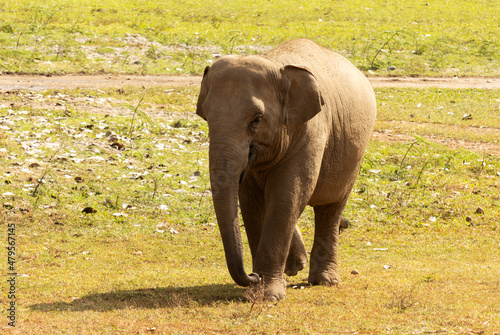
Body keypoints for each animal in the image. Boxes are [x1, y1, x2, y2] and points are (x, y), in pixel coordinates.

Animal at [195, 38, 376, 302]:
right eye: (206, 118)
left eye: (256, 119)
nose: (252, 275)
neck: (275, 63)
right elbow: (251, 202)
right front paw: (261, 288)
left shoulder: (310, 131)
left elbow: (287, 195)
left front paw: (265, 296)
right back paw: (295, 266)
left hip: (354, 153)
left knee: (330, 208)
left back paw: (324, 281)